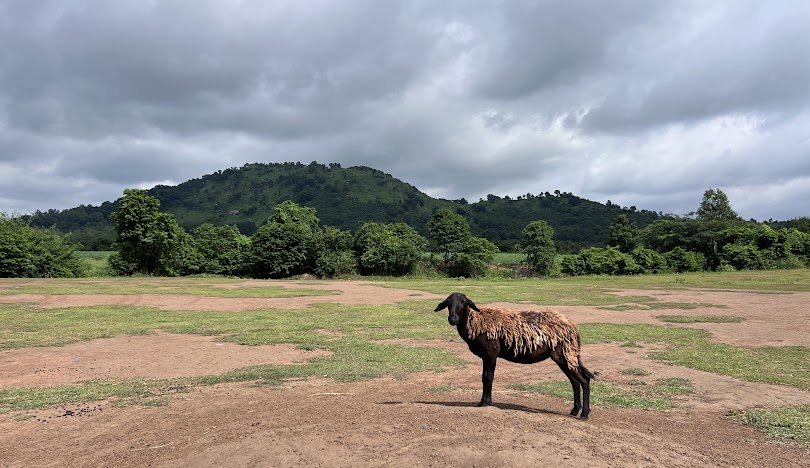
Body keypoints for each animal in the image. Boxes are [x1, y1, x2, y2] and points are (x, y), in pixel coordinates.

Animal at [432, 292, 596, 420]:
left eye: (463, 302)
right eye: (448, 303)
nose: (452, 319)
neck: (476, 322)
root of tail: (573, 328)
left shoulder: (491, 352)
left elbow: (487, 377)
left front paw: (484, 402)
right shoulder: (487, 355)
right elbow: (485, 377)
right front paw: (486, 401)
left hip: (564, 354)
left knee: (584, 381)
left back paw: (584, 414)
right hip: (566, 356)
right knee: (575, 381)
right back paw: (574, 410)